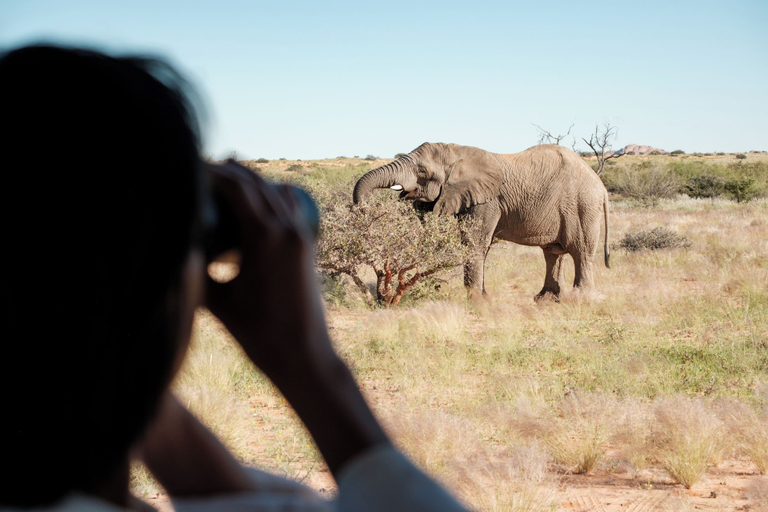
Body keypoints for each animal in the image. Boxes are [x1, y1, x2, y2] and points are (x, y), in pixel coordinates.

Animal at [352, 143, 610, 300]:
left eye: (423, 171)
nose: (364, 210)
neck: (459, 152)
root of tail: (601, 186)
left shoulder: (487, 200)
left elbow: (474, 243)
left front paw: (476, 301)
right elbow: (479, 247)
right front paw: (483, 298)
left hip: (582, 205)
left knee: (580, 251)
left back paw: (582, 299)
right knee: (553, 253)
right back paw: (546, 300)